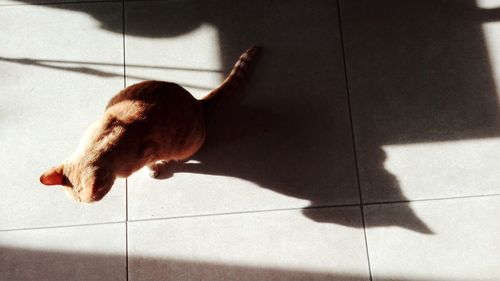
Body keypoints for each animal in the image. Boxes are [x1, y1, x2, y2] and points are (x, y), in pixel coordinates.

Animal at [40, 47, 258, 202]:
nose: (88, 204)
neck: (101, 143)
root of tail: (196, 102)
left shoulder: (150, 152)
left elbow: (151, 162)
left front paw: (154, 170)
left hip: (187, 146)